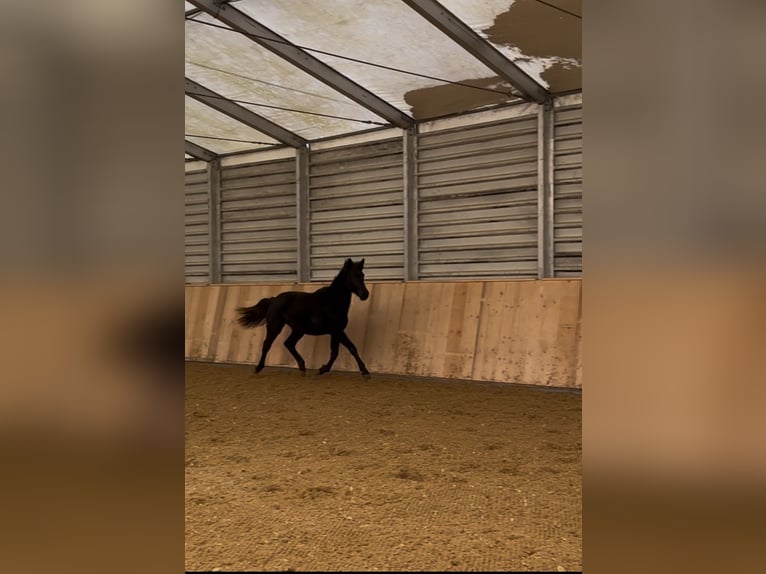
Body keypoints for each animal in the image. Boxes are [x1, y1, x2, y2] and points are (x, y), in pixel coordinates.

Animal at [238, 258, 374, 376]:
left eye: (362, 275)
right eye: (353, 276)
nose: (365, 294)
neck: (333, 301)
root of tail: (274, 300)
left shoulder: (335, 332)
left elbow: (335, 352)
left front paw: (323, 369)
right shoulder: (337, 331)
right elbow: (351, 348)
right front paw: (365, 372)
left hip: (298, 330)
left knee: (288, 343)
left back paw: (302, 367)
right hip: (275, 326)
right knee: (267, 344)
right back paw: (258, 368)